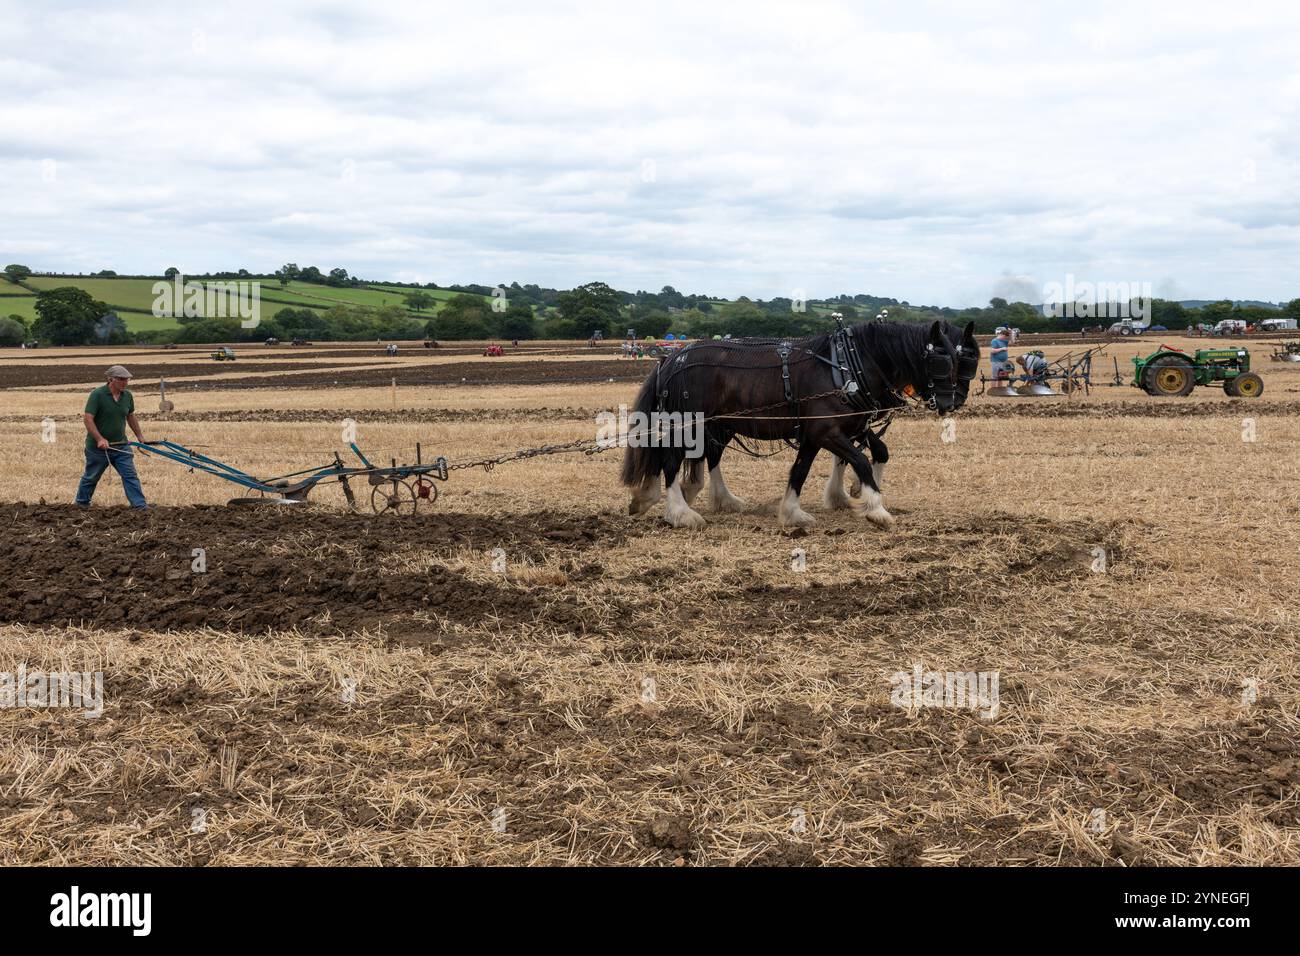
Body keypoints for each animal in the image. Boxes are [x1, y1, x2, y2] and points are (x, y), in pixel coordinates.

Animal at [620, 319, 979, 528]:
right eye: (941, 360)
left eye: (966, 361)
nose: (951, 403)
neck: (845, 366)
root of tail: (670, 359)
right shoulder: (826, 431)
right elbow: (861, 460)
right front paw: (875, 506)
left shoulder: (822, 433)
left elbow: (806, 469)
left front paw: (799, 509)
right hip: (687, 425)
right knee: (670, 461)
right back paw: (680, 512)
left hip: (717, 426)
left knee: (708, 458)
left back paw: (717, 500)